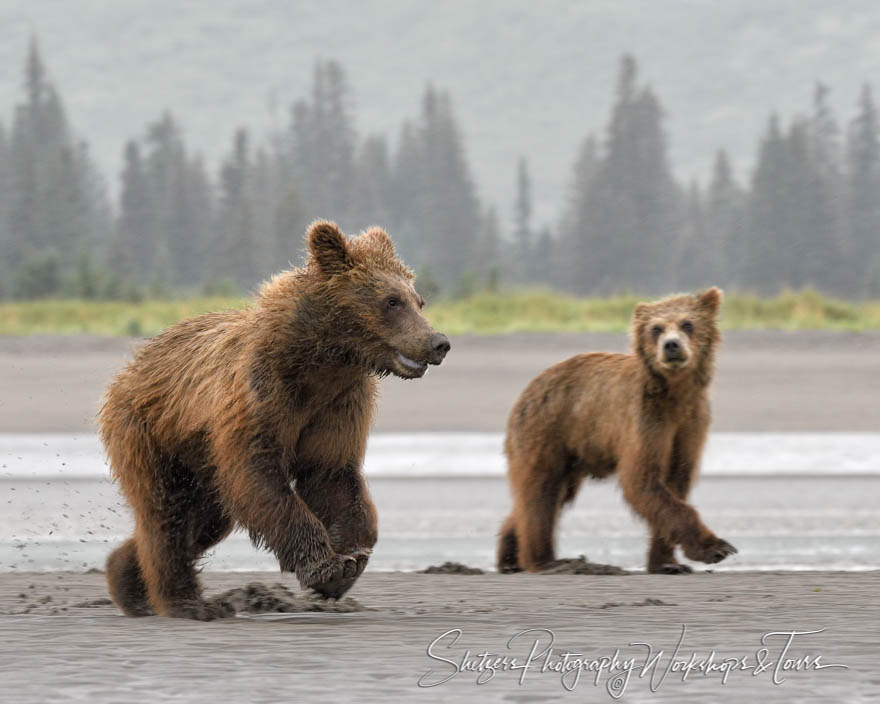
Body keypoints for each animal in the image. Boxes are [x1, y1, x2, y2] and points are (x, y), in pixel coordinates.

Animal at [99, 221, 450, 620]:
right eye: (391, 301)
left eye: (418, 301)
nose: (437, 342)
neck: (320, 361)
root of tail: (130, 368)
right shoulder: (261, 396)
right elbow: (261, 477)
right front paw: (325, 566)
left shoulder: (338, 404)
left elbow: (332, 474)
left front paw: (350, 560)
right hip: (148, 433)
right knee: (166, 518)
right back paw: (187, 602)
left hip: (200, 465)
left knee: (201, 523)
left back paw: (125, 580)